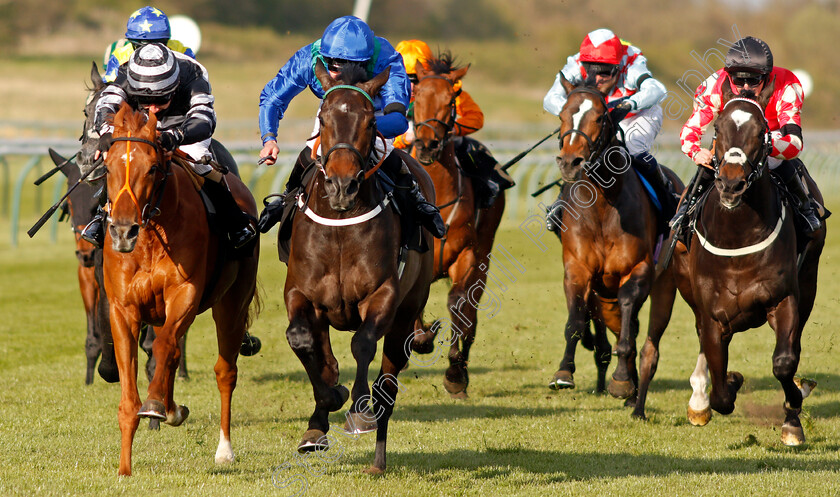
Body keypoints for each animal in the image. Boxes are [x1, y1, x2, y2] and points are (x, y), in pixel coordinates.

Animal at [99, 102, 258, 474]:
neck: (151, 235)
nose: (123, 231)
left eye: (152, 168)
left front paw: (158, 405)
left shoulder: (185, 293)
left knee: (224, 371)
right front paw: (124, 468)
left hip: (232, 303)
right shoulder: (123, 309)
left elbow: (166, 348)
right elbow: (130, 395)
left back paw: (224, 449)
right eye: (108, 167)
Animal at [286, 62, 436, 472]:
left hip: (407, 313)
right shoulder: (301, 293)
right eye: (323, 117)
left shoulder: (383, 293)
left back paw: (378, 459)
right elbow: (302, 341)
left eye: (371, 121)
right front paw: (328, 402)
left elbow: (363, 342)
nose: (341, 185)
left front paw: (358, 409)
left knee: (389, 380)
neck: (340, 225)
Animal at [406, 52, 506, 398]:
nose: (426, 145)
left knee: (470, 314)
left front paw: (454, 373)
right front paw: (422, 338)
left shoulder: (467, 255)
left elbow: (457, 304)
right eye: (417, 95)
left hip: (484, 256)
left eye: (451, 99)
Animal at [548, 77, 684, 404]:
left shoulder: (638, 270)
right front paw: (564, 372)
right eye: (562, 115)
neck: (602, 206)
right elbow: (575, 321)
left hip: (663, 281)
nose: (570, 162)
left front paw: (622, 380)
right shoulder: (578, 269)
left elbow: (627, 320)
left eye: (599, 117)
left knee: (634, 326)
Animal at [632, 80, 824, 442]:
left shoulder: (783, 298)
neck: (738, 236)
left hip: (809, 281)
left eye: (761, 132)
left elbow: (784, 362)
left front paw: (793, 415)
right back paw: (699, 399)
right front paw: (725, 386)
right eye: (718, 129)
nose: (732, 183)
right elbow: (721, 391)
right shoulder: (712, 312)